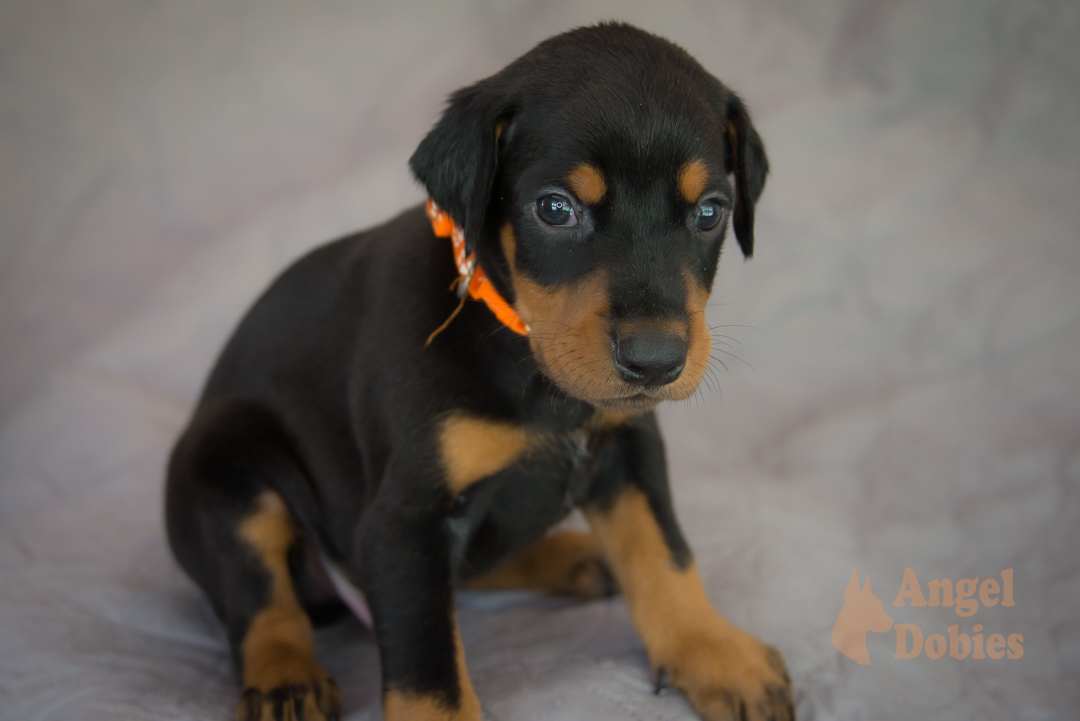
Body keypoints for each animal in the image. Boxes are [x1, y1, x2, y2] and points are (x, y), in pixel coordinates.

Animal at [168, 21, 794, 721]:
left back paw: (575, 557)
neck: (530, 362)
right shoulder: (403, 523)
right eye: (555, 209)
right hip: (222, 461)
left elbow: (666, 554)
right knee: (259, 597)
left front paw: (718, 654)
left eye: (710, 211)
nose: (656, 361)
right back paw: (286, 679)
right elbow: (428, 669)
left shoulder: (627, 450)